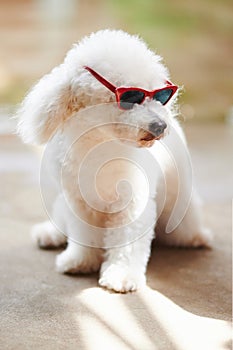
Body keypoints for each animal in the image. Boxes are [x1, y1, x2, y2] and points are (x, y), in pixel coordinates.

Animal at [17, 29, 212, 292]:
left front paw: (121, 275)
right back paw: (49, 234)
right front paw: (80, 260)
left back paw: (197, 237)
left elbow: (127, 242)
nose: (160, 126)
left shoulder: (132, 203)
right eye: (130, 97)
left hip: (180, 208)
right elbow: (82, 234)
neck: (101, 143)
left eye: (159, 96)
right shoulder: (78, 201)